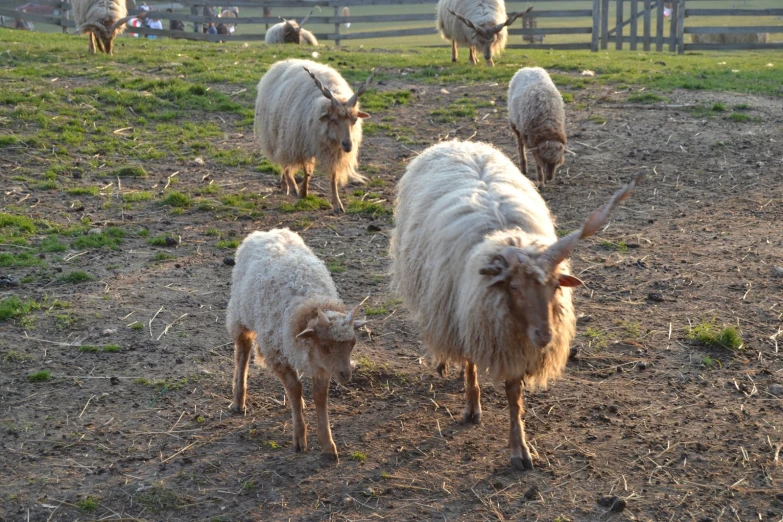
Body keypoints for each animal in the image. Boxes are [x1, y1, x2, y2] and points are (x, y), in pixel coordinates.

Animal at [225, 228, 362, 460]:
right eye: (324, 346)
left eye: (352, 344)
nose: (346, 375)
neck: (310, 302)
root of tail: (266, 232)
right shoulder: (277, 354)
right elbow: (294, 388)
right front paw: (299, 437)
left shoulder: (322, 366)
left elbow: (319, 397)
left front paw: (327, 444)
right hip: (240, 313)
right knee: (242, 353)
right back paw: (238, 400)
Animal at [251, 57, 374, 211]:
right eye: (333, 120)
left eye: (355, 120)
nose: (348, 145)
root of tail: (283, 62)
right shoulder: (302, 142)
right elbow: (307, 172)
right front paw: (303, 192)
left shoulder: (333, 150)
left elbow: (333, 177)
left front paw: (337, 203)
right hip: (280, 135)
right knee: (284, 162)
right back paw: (290, 186)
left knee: (284, 162)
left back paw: (285, 185)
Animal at [392, 140, 644, 470]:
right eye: (513, 287)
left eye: (554, 286)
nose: (545, 336)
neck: (505, 234)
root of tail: (459, 142)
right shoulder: (476, 318)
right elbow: (471, 363)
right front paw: (473, 406)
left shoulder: (513, 342)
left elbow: (514, 396)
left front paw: (520, 448)